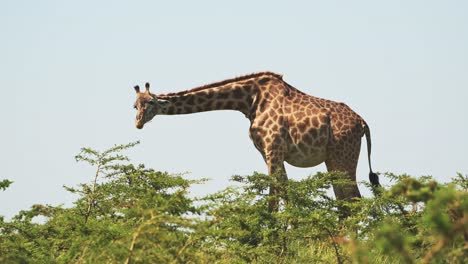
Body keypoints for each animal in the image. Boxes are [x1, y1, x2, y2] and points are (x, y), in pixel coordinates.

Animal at [133, 71, 380, 208]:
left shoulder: (273, 149)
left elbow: (273, 196)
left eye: (150, 103)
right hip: (332, 160)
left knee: (353, 201)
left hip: (343, 157)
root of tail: (362, 123)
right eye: (135, 105)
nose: (138, 123)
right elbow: (285, 192)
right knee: (345, 202)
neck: (249, 101)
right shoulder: (267, 152)